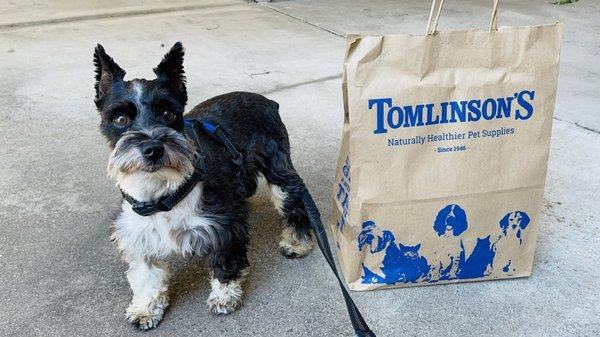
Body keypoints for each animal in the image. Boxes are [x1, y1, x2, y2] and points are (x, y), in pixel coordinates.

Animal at [94, 42, 314, 328]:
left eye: (168, 113)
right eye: (120, 119)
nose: (153, 149)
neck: (163, 193)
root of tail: (268, 101)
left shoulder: (223, 226)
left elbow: (225, 263)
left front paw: (225, 296)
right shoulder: (138, 235)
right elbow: (146, 274)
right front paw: (146, 308)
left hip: (279, 174)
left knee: (293, 204)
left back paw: (296, 242)